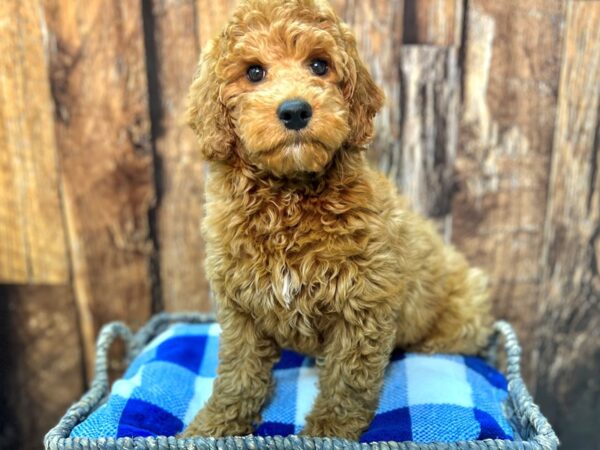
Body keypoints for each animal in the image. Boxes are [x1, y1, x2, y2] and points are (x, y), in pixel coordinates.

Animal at [183, 0, 492, 440]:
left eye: (319, 65)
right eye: (254, 72)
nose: (295, 110)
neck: (290, 197)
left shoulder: (363, 304)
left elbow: (348, 380)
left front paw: (327, 431)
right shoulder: (240, 307)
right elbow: (238, 372)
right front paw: (214, 424)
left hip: (462, 311)